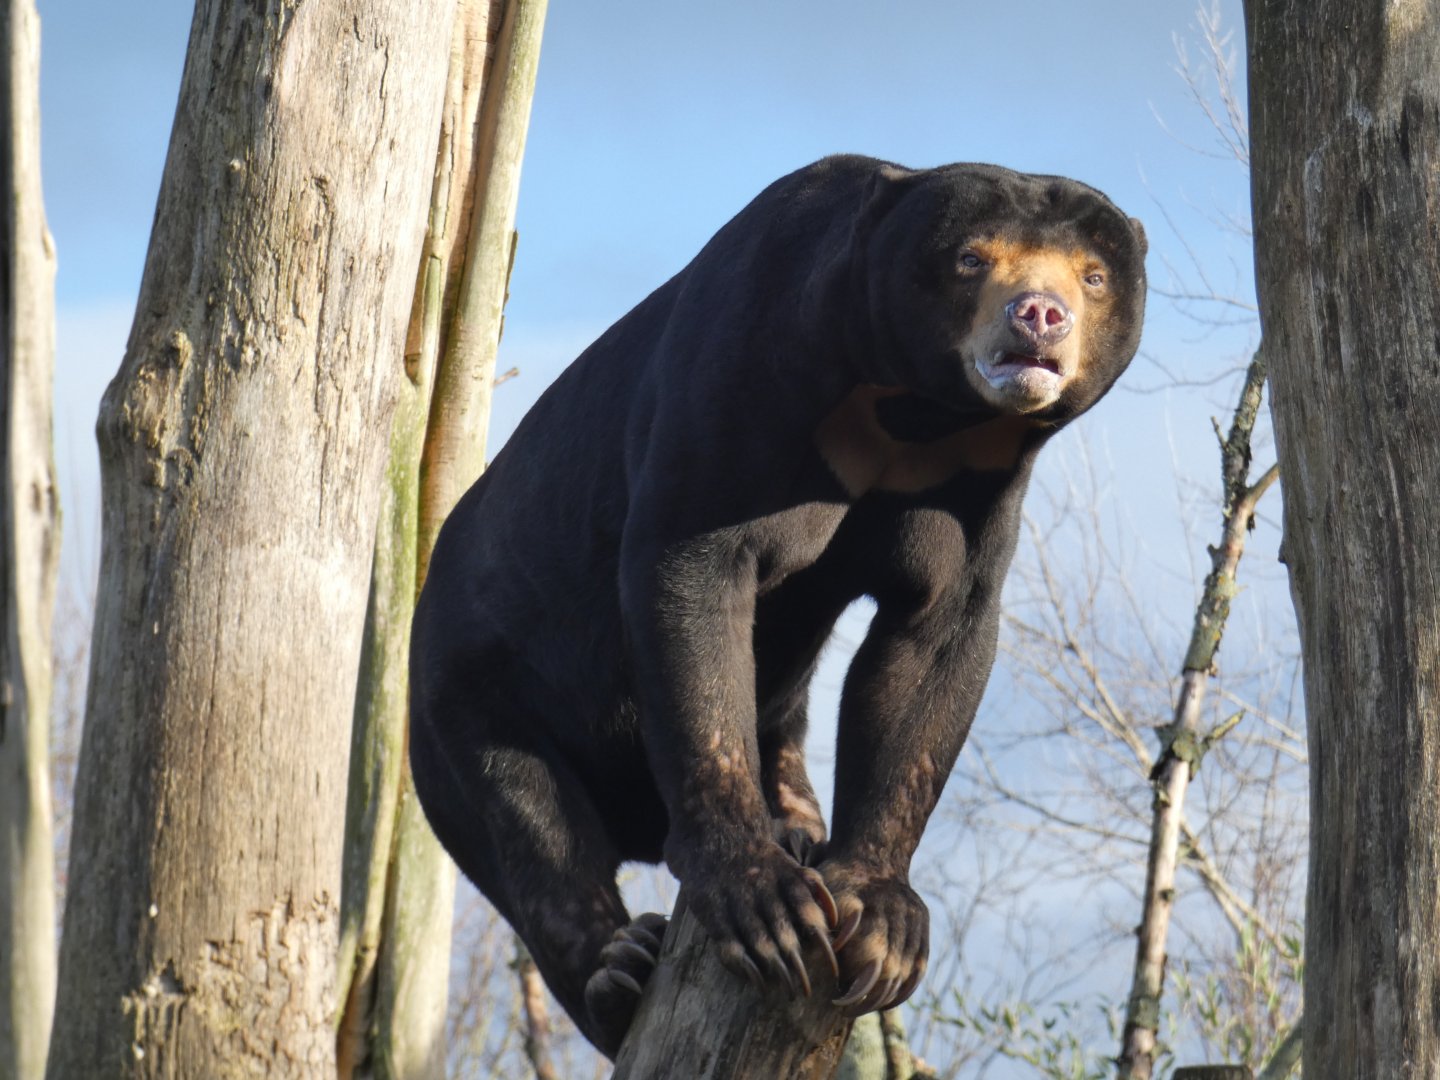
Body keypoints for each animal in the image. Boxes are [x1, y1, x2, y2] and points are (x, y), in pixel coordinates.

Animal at [409, 154, 1147, 1057]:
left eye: (1094, 274)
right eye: (973, 259)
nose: (1040, 315)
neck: (914, 415)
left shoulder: (975, 489)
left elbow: (934, 646)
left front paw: (883, 922)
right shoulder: (742, 376)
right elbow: (693, 583)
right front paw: (763, 905)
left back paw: (794, 820)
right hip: (465, 703)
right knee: (530, 827)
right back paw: (618, 973)